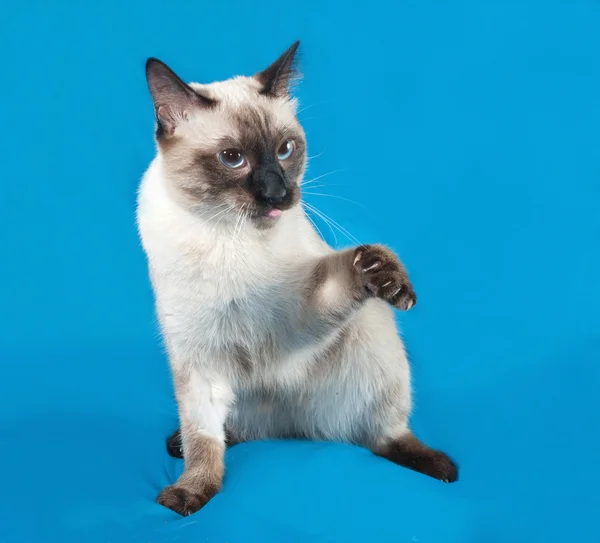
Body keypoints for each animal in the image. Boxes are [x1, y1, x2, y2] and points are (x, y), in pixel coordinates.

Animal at [137, 40, 460, 516]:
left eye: (286, 149)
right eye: (232, 158)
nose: (279, 193)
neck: (228, 237)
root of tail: (293, 429)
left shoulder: (293, 315)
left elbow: (346, 273)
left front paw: (380, 271)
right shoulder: (198, 358)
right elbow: (203, 438)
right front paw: (190, 494)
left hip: (375, 337)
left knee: (383, 434)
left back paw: (440, 467)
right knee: (227, 431)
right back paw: (182, 443)